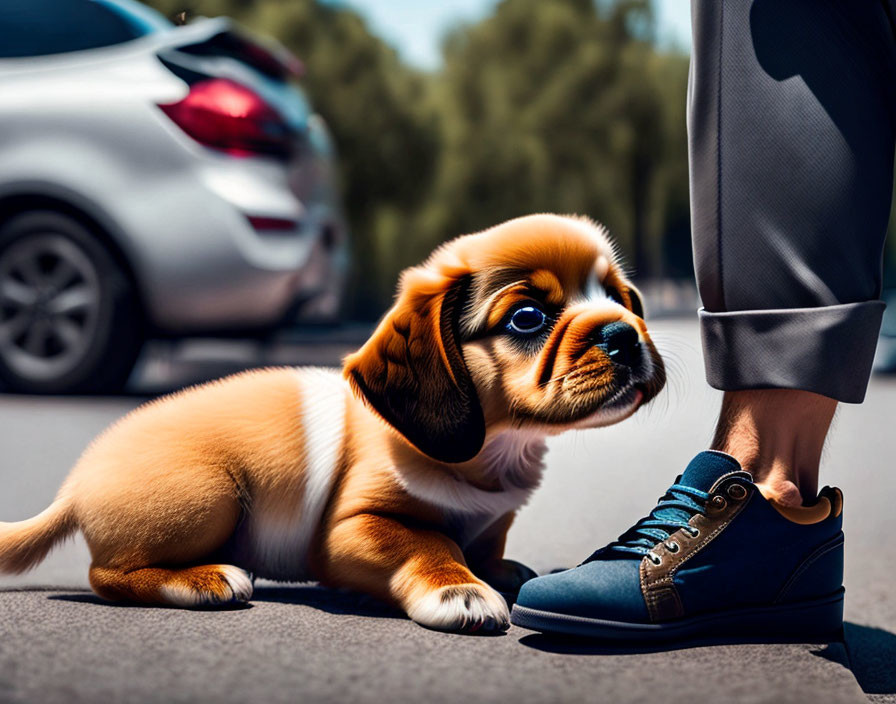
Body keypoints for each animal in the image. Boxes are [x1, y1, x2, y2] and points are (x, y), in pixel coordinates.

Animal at [0, 213, 664, 632]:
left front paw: (497, 568)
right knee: (105, 573)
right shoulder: (352, 528)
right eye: (527, 318)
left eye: (621, 298)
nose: (624, 334)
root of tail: (73, 488)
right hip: (209, 496)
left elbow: (484, 537)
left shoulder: (495, 516)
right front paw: (460, 588)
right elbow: (431, 541)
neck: (495, 453)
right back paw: (205, 580)